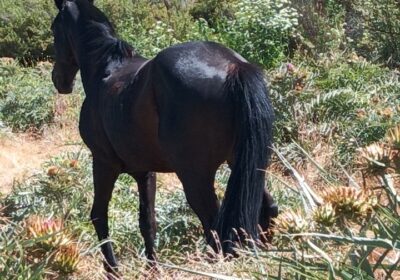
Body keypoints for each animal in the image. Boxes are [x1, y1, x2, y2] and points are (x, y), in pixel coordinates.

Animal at [50, 0, 278, 272]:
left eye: (54, 29)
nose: (59, 80)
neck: (105, 71)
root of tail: (233, 65)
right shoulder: (145, 172)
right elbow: (147, 221)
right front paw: (152, 268)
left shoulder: (103, 162)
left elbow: (99, 215)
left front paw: (112, 269)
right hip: (244, 165)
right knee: (266, 208)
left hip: (195, 176)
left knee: (214, 226)